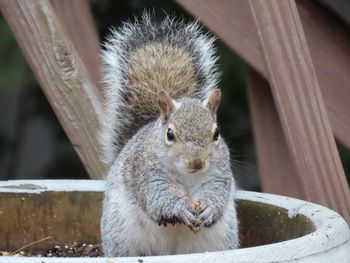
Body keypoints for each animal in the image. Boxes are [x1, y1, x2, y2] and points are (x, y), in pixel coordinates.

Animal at [100, 13, 239, 256]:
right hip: (120, 236)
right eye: (170, 134)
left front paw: (209, 208)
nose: (196, 162)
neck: (187, 177)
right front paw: (180, 208)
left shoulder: (219, 173)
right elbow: (159, 198)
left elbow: (217, 192)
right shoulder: (147, 174)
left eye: (216, 133)